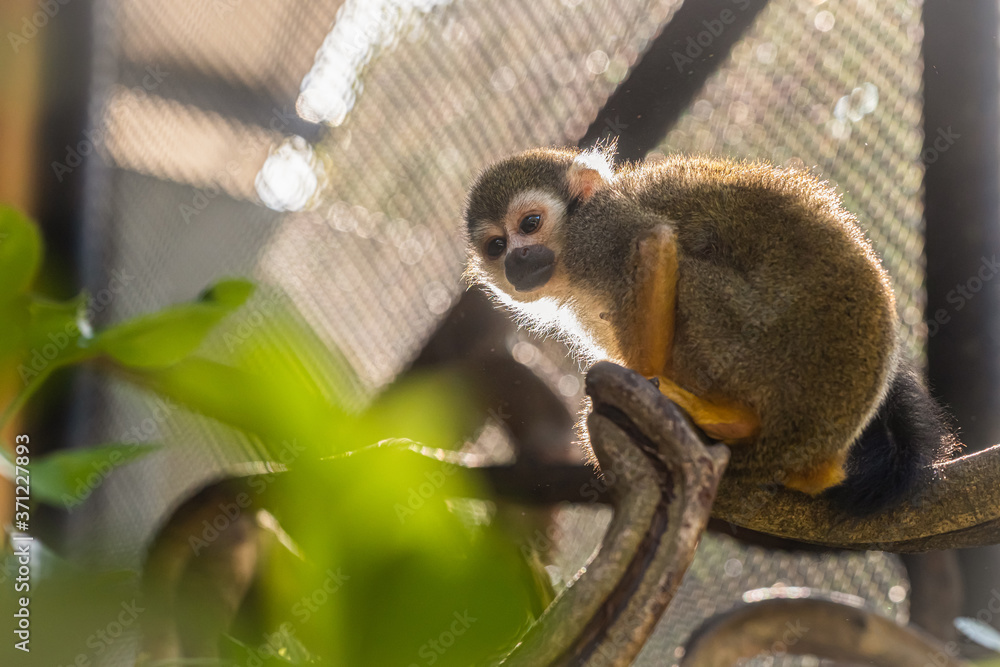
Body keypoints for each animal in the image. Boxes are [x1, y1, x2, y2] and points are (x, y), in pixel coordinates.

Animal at [463, 145, 958, 515]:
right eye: (497, 245)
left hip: (770, 349)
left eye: (530, 224)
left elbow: (655, 241)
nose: (517, 260)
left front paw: (641, 381)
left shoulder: (599, 233)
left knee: (691, 273)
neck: (568, 261)